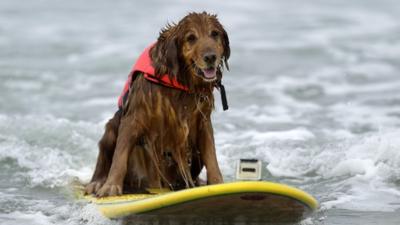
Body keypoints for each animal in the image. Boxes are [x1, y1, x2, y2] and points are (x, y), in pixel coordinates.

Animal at [85, 11, 230, 197]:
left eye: (214, 34)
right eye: (191, 38)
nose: (211, 57)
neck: (180, 82)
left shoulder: (202, 122)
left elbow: (211, 155)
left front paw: (218, 183)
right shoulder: (134, 118)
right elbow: (120, 155)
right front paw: (111, 186)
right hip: (111, 128)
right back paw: (97, 183)